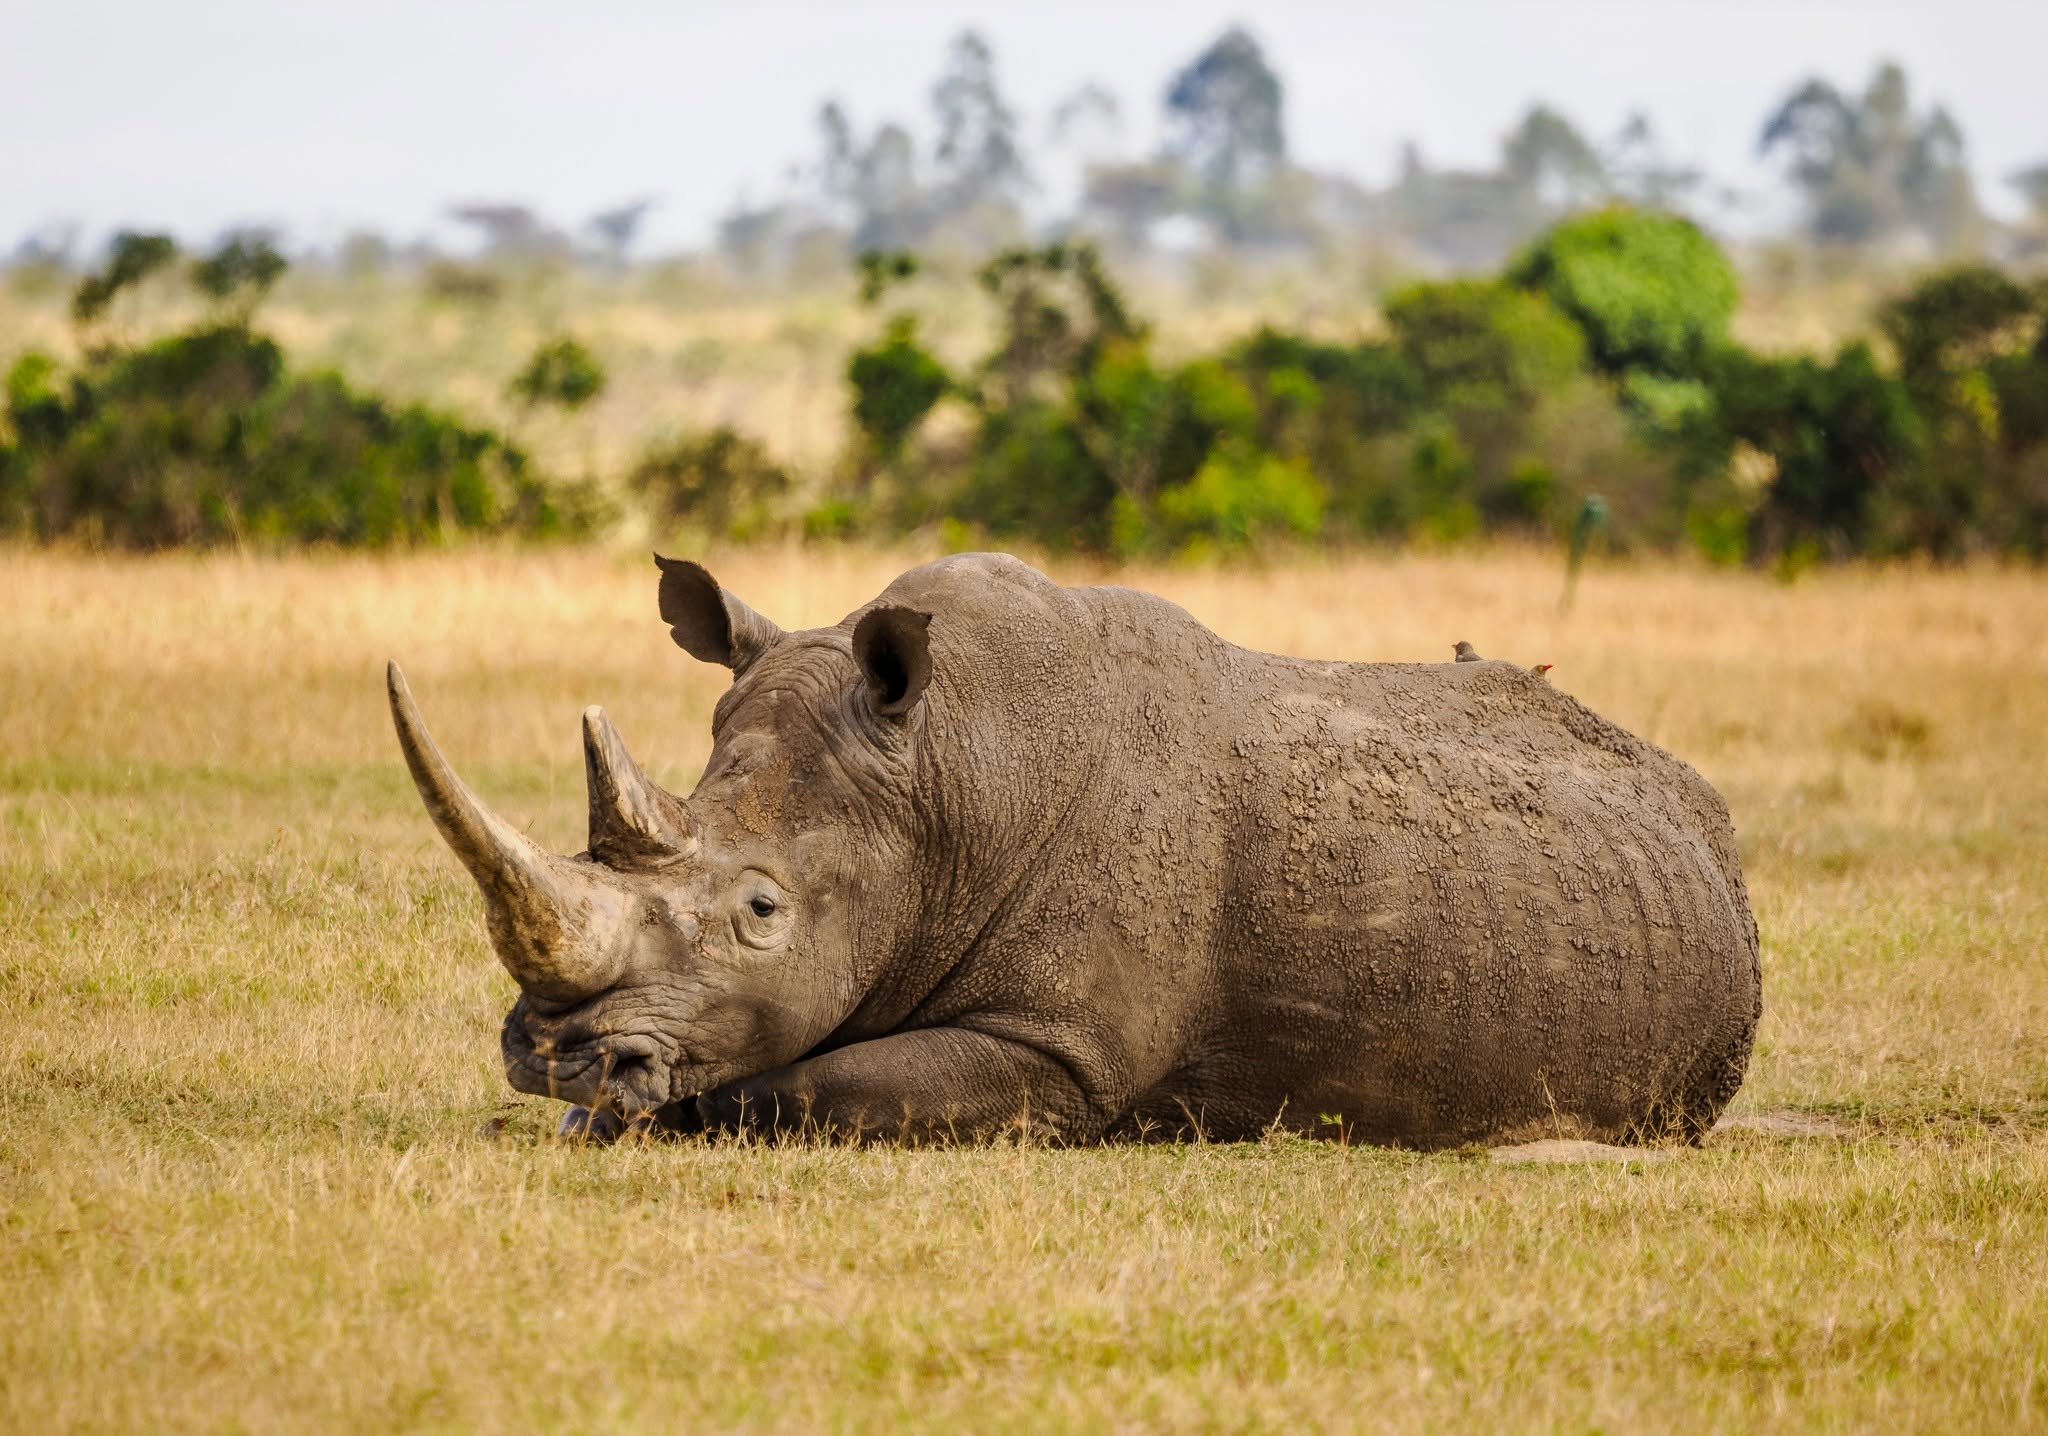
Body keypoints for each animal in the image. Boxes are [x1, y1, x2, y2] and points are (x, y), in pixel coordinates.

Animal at [388, 552, 1759, 1147]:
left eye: (761, 912)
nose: (552, 1055)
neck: (944, 776)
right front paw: (599, 1112)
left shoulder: (1062, 1051)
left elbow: (800, 1083)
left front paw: (651, 1111)